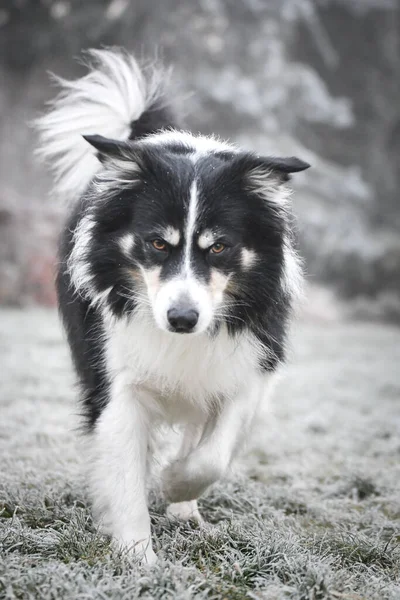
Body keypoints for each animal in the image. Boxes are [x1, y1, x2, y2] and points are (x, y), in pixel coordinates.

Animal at [36, 48, 310, 564]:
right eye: (157, 244)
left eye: (219, 247)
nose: (182, 320)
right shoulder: (116, 378)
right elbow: (125, 470)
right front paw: (139, 558)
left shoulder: (250, 361)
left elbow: (213, 454)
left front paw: (175, 485)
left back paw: (184, 507)